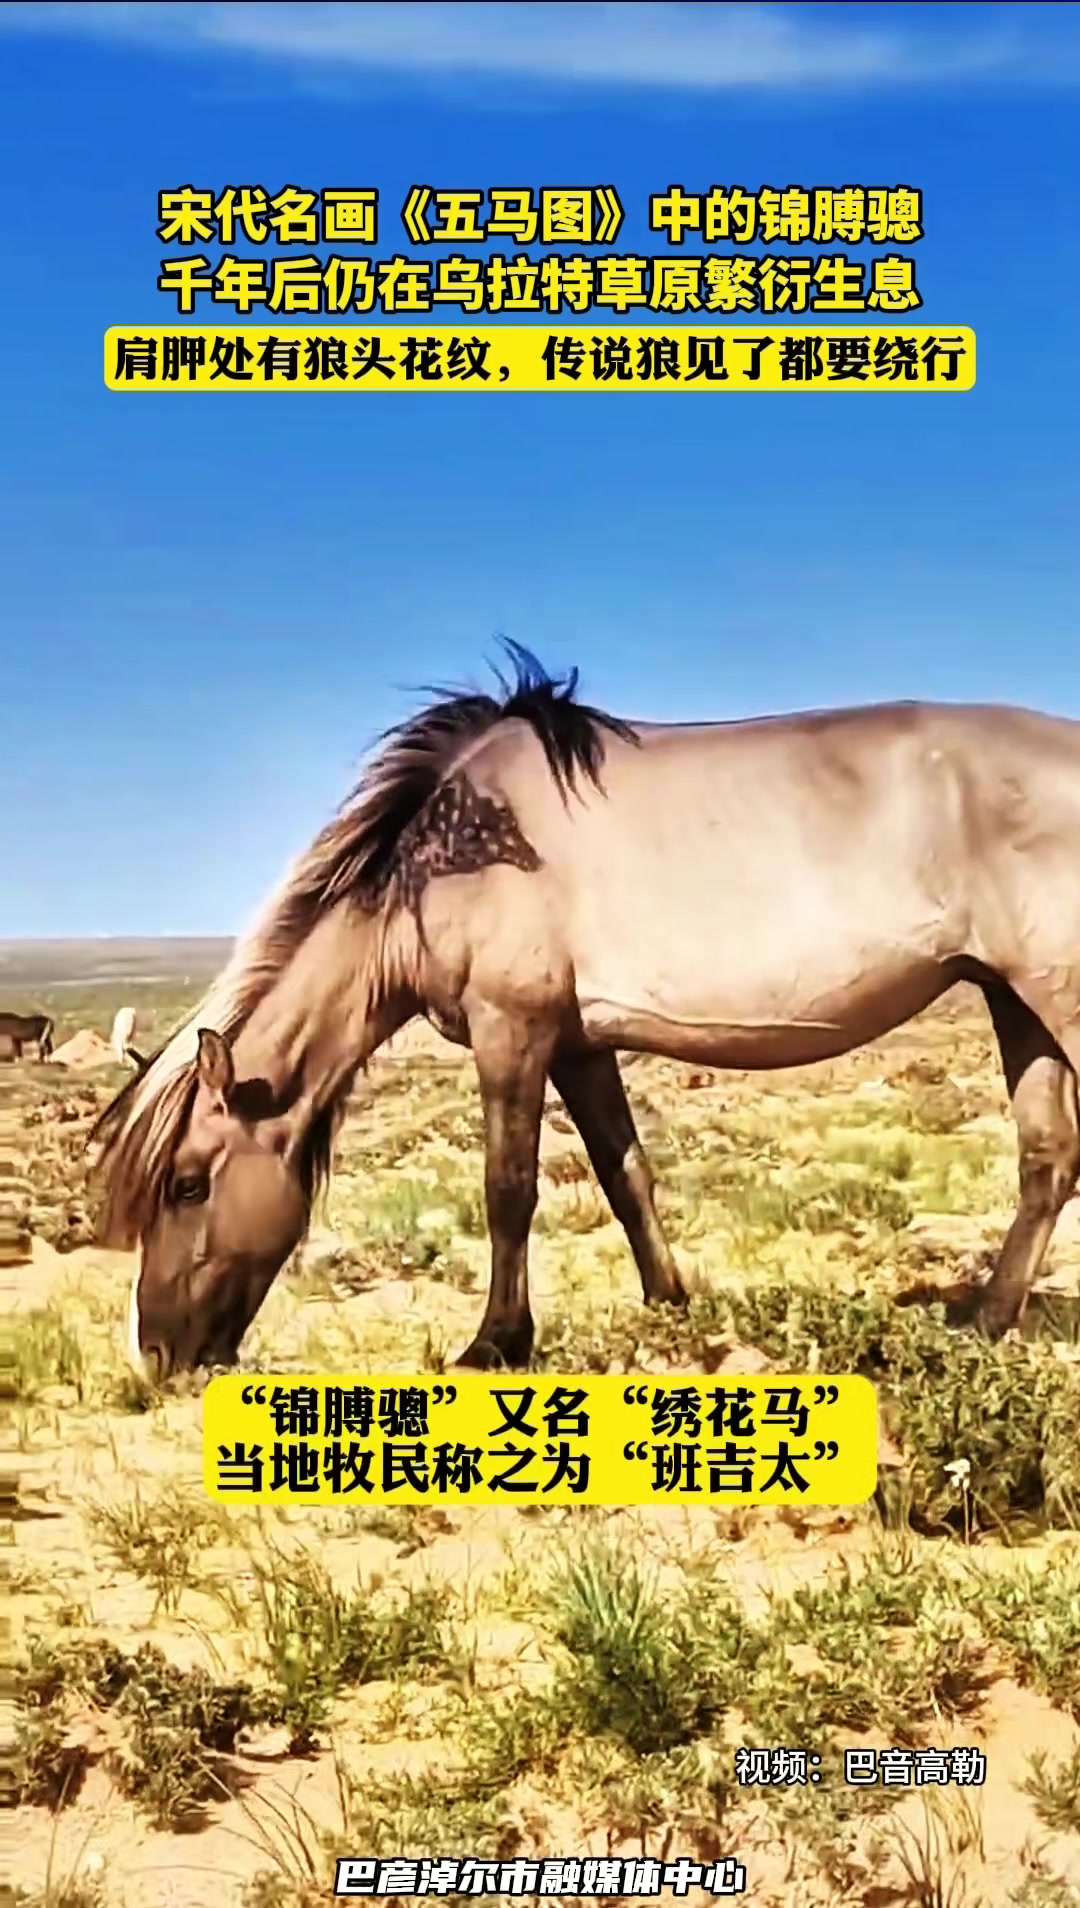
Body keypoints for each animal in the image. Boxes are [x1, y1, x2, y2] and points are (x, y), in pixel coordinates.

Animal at [88, 644, 1080, 1384]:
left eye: (187, 1183)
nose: (158, 1355)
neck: (446, 855)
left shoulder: (512, 1030)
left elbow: (508, 1189)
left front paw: (494, 1343)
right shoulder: (578, 1046)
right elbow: (623, 1172)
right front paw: (670, 1307)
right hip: (1015, 1002)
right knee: (1047, 1161)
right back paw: (982, 1324)